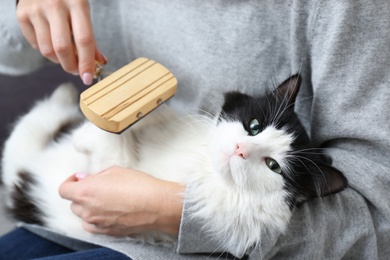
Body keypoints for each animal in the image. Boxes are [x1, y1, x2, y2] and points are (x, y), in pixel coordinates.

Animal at [0, 74, 348, 256]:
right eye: (253, 126)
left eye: (274, 166)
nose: (240, 149)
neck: (199, 162)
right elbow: (150, 118)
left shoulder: (105, 172)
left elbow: (113, 148)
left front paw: (88, 134)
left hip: (23, 157)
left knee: (26, 133)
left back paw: (65, 99)